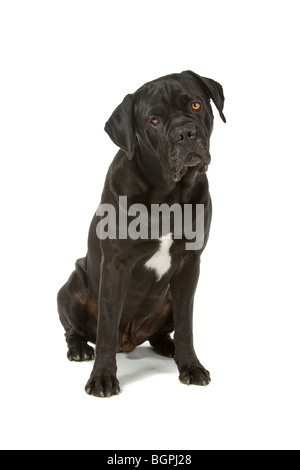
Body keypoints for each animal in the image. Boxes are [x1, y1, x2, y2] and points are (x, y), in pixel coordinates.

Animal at [57, 71, 225, 398]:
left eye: (196, 105)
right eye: (154, 121)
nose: (185, 133)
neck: (168, 195)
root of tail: (130, 341)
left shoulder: (190, 265)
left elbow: (186, 324)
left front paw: (191, 366)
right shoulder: (115, 264)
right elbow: (106, 326)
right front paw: (102, 378)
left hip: (169, 296)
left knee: (165, 330)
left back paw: (168, 347)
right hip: (71, 287)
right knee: (73, 330)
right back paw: (79, 349)